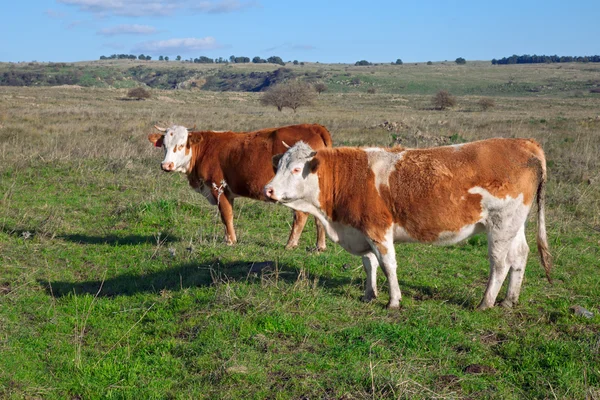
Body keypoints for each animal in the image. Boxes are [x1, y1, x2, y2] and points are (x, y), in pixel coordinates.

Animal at [147, 122, 330, 250]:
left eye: (181, 145)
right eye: (164, 145)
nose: (166, 165)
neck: (205, 149)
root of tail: (314, 127)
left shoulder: (218, 188)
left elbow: (226, 215)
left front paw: (230, 240)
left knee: (300, 216)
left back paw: (291, 244)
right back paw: (319, 246)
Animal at [264, 138, 552, 310]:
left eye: (296, 169)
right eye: (278, 165)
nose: (268, 190)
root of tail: (525, 143)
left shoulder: (378, 229)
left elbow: (388, 266)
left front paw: (393, 301)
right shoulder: (361, 230)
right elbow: (369, 264)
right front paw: (369, 295)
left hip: (501, 224)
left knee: (500, 263)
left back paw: (486, 302)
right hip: (514, 224)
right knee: (520, 256)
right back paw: (509, 301)